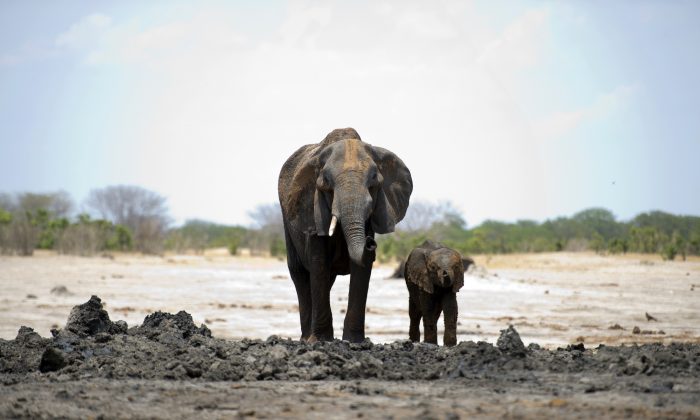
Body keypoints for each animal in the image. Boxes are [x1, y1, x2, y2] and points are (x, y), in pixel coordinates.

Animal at [278, 129, 412, 344]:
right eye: (326, 182)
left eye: (374, 181)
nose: (371, 243)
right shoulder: (312, 208)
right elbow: (318, 263)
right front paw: (321, 341)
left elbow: (361, 270)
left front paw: (354, 341)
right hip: (287, 219)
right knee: (299, 273)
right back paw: (306, 338)